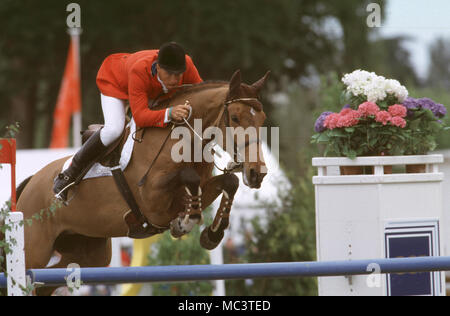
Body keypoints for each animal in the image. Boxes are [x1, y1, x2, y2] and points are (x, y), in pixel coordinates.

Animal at [14, 68, 268, 294]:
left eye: (263, 119)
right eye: (234, 117)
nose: (258, 173)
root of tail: (31, 184)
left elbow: (229, 181)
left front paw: (211, 235)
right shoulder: (153, 201)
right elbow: (189, 177)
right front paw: (185, 223)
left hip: (87, 253)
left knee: (50, 280)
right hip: (36, 250)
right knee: (31, 276)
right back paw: (62, 183)